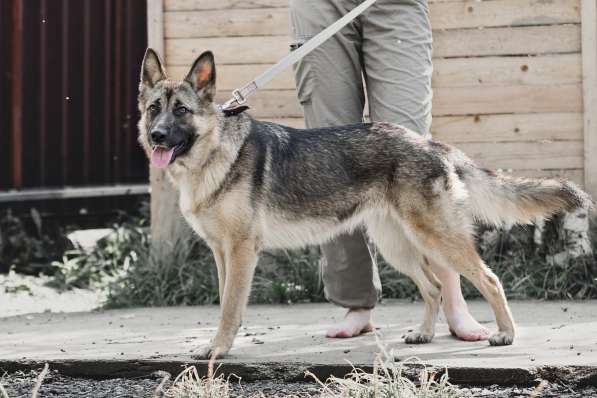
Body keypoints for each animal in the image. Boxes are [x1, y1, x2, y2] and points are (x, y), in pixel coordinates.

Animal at [139, 48, 592, 360]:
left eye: (182, 110)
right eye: (153, 109)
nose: (157, 136)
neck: (214, 154)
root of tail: (429, 143)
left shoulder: (241, 253)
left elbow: (230, 308)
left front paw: (217, 350)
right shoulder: (223, 254)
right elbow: (224, 302)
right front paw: (219, 344)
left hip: (436, 238)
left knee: (487, 280)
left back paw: (505, 334)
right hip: (398, 246)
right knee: (432, 287)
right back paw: (423, 334)